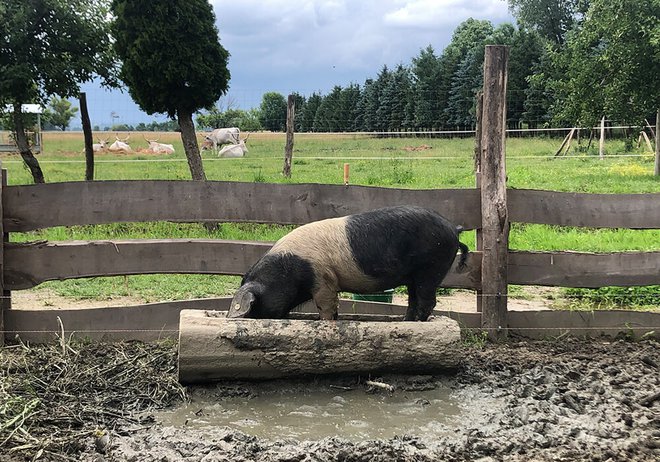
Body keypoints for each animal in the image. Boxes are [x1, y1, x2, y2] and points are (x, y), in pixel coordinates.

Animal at [227, 206, 470, 322]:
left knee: (428, 301)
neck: (287, 269)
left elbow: (326, 306)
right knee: (414, 300)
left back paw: (419, 323)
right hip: (415, 275)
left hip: (432, 267)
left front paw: (326, 322)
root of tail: (453, 228)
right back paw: (406, 322)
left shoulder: (323, 280)